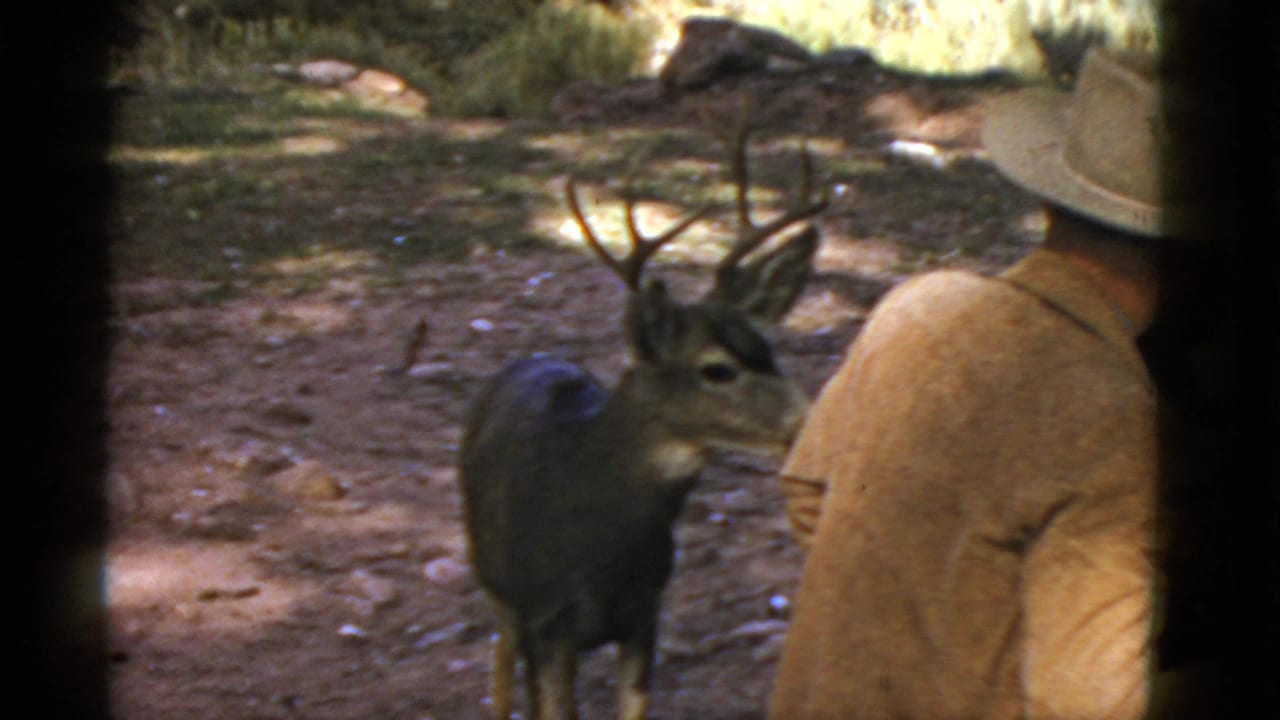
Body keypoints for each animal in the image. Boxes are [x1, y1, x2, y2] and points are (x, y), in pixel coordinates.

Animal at [457, 115, 828, 720]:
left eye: (769, 350)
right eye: (717, 369)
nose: (808, 420)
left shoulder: (644, 616)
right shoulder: (546, 622)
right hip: (498, 588)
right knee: (500, 670)